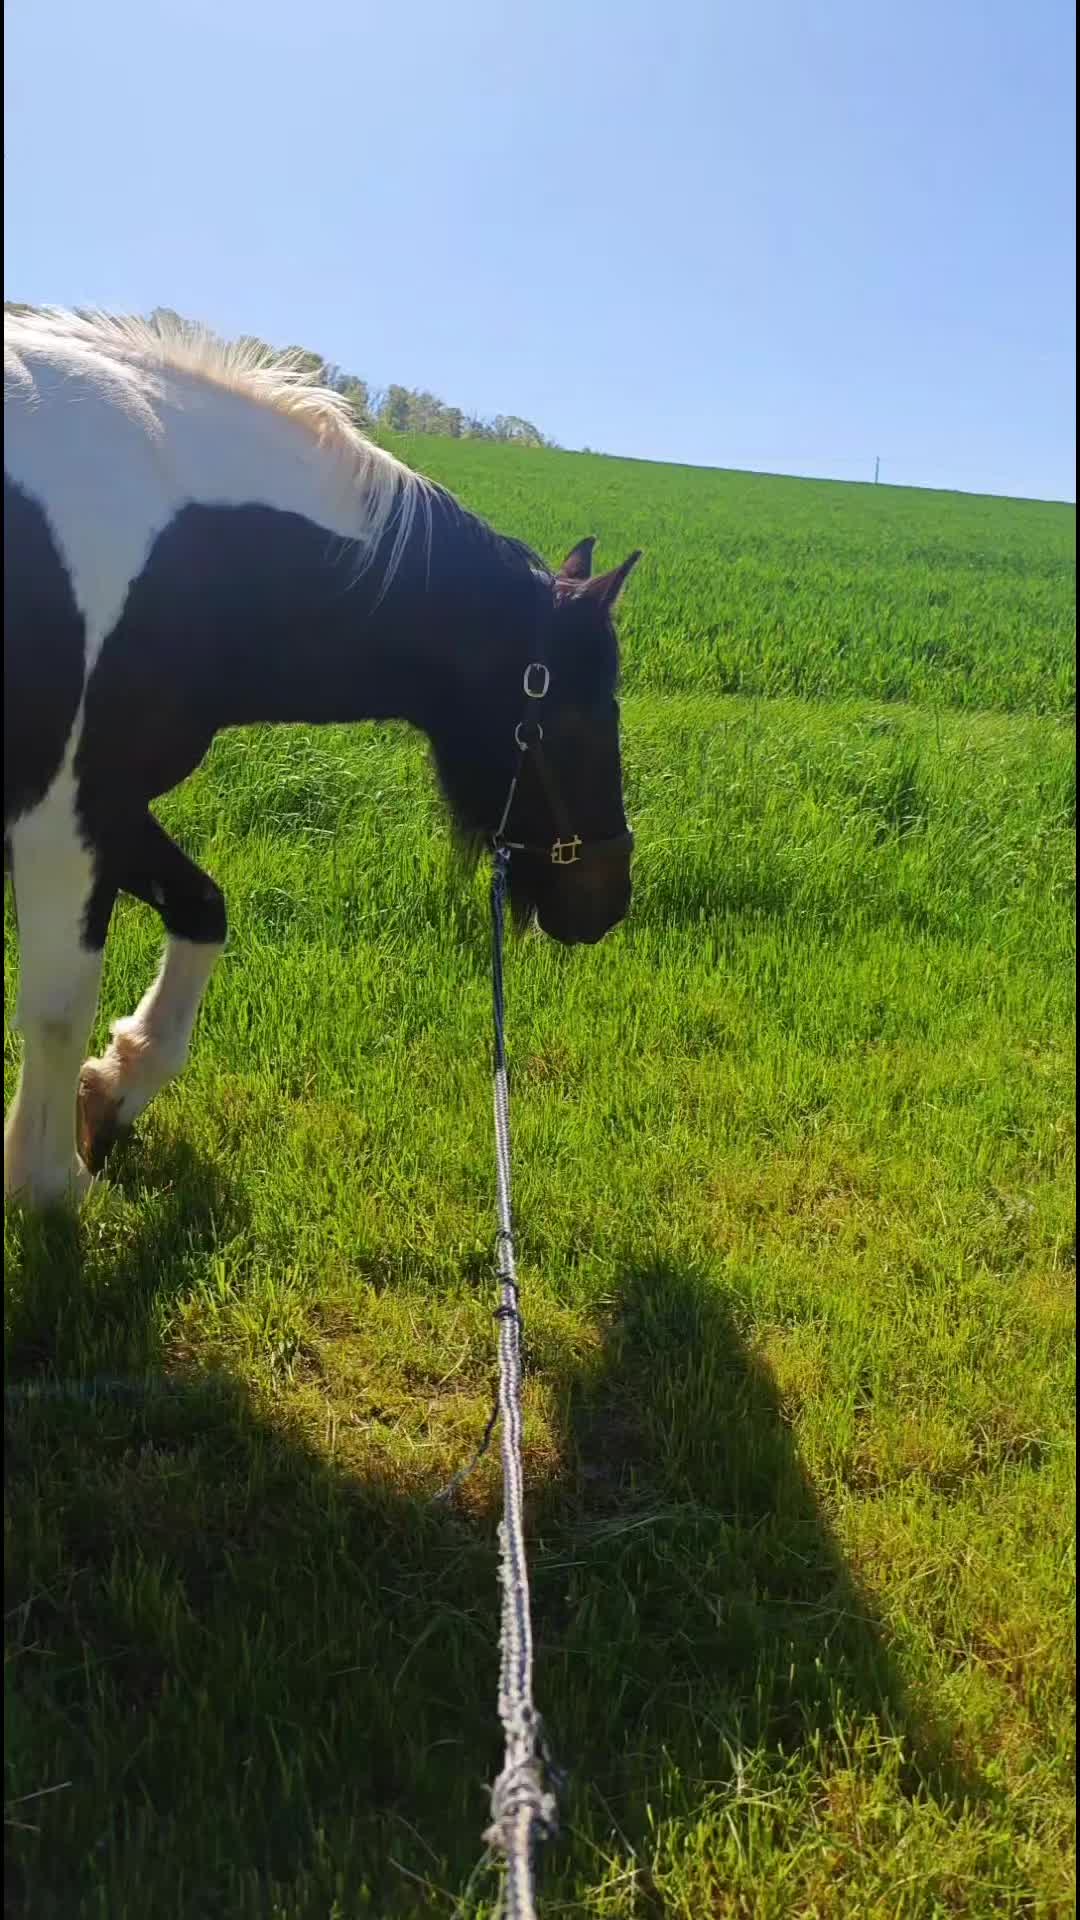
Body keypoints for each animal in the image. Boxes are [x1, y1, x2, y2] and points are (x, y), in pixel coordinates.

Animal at [3, 308, 640, 1210]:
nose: (608, 899)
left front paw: (114, 1088)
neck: (186, 556)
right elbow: (61, 1002)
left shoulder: (109, 804)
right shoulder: (63, 815)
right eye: (583, 716)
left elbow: (202, 910)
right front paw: (48, 1180)